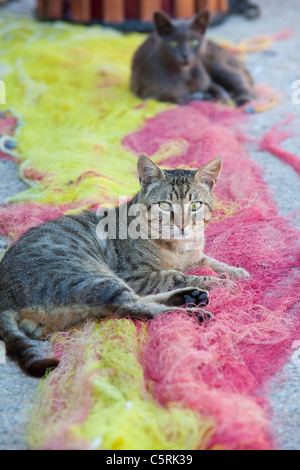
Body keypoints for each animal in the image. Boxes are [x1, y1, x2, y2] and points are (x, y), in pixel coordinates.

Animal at [0, 156, 248, 376]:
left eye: (195, 205)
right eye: (165, 205)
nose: (182, 225)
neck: (180, 247)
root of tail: (5, 299)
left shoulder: (195, 256)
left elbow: (209, 261)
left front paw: (235, 271)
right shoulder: (136, 276)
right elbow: (177, 275)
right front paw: (220, 283)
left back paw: (190, 297)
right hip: (92, 276)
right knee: (130, 307)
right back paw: (192, 311)